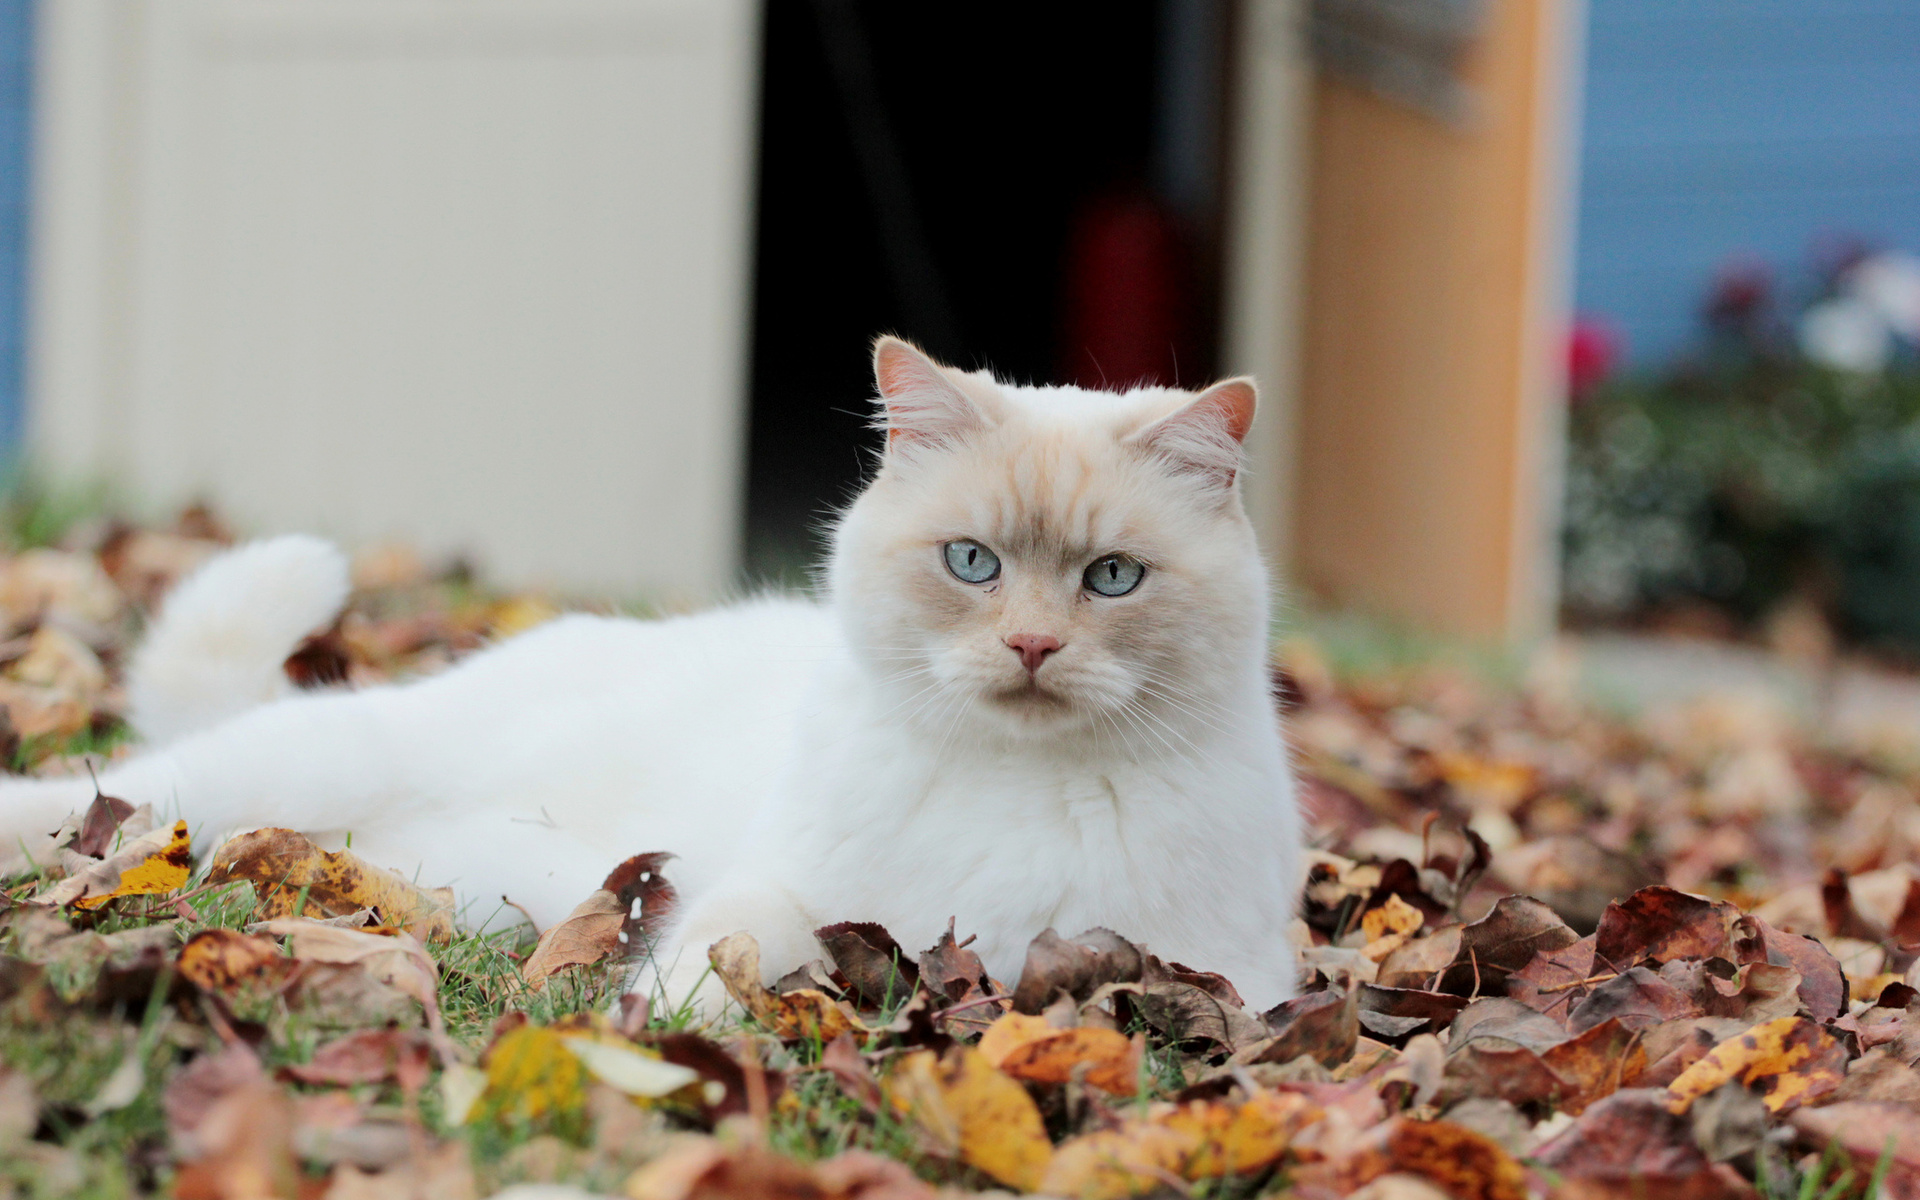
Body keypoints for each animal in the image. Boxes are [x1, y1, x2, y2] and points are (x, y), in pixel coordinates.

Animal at [0, 337, 1305, 1013]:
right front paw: (658, 1048)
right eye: (973, 563)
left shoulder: (1224, 979)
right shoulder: (781, 895)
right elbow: (714, 975)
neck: (1016, 789)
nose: (1032, 648)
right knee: (108, 792)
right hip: (302, 765)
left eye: (1113, 580)